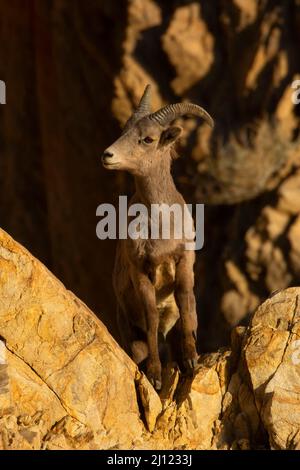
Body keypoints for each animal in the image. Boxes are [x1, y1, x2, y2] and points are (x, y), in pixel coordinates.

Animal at [102, 85, 213, 390]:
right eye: (125, 131)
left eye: (148, 139)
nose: (108, 155)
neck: (162, 226)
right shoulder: (140, 271)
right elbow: (151, 316)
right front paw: (154, 375)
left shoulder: (184, 260)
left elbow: (184, 300)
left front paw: (190, 359)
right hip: (131, 334)